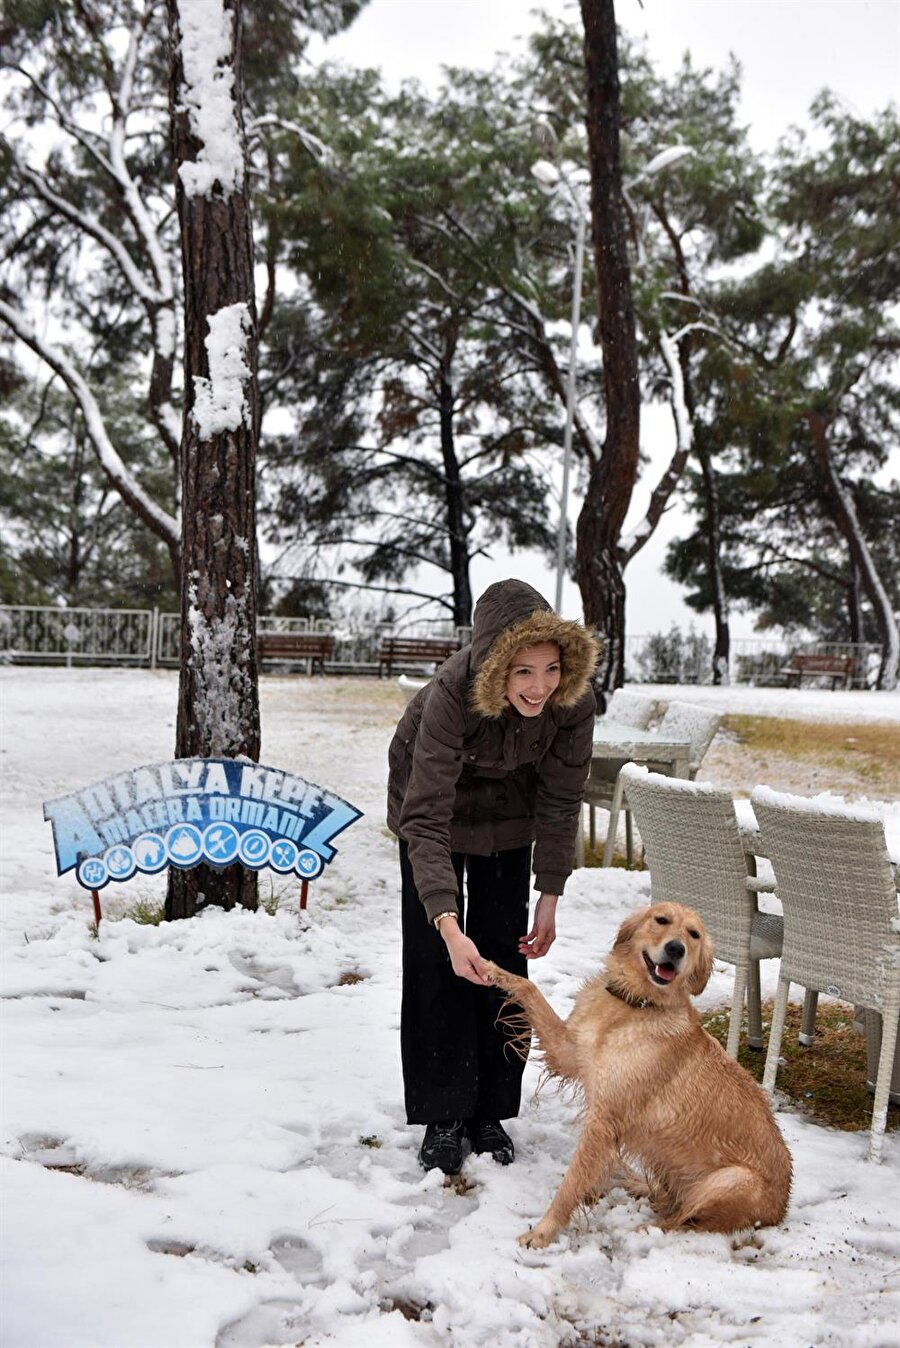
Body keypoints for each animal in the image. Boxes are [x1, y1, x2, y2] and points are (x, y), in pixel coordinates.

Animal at [487, 900, 792, 1245]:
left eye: (694, 934)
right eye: (661, 920)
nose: (676, 948)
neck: (637, 1003)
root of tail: (781, 1211)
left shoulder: (604, 1121)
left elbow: (571, 1182)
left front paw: (542, 1233)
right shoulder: (569, 1052)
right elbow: (529, 988)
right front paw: (488, 967)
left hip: (729, 1180)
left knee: (681, 1220)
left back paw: (644, 1229)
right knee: (671, 1201)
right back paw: (636, 1185)